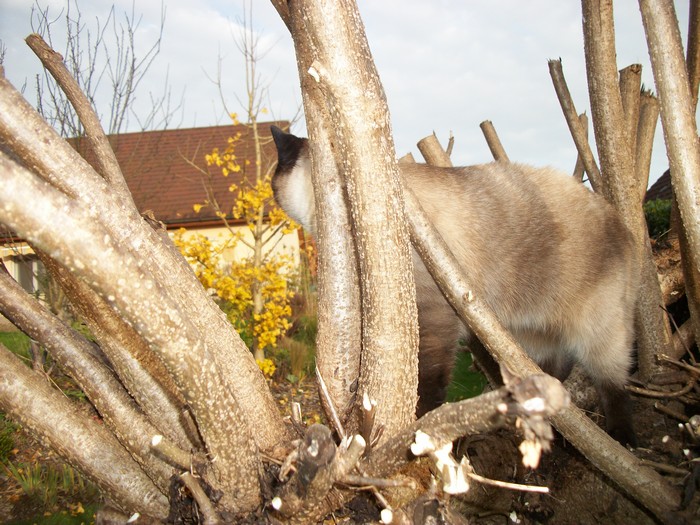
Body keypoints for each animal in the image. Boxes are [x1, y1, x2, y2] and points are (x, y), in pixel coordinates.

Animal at [272, 125, 640, 444]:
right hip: (530, 333)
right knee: (553, 369)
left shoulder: (434, 315)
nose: (267, 195)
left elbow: (428, 379)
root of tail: (622, 225)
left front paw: (419, 425)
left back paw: (623, 438)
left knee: (614, 382)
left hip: (596, 331)